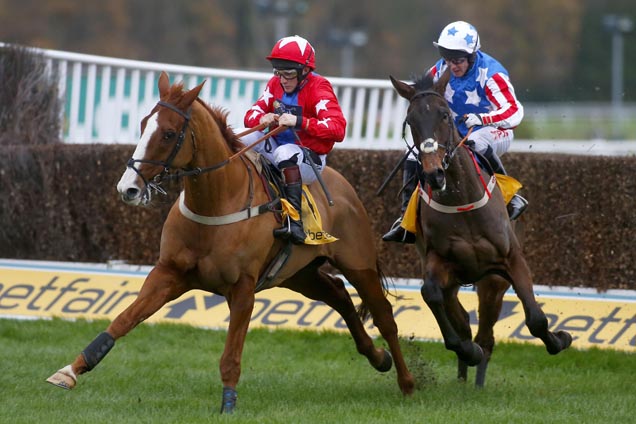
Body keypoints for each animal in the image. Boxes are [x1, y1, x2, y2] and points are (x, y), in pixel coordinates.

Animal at [47, 71, 414, 412]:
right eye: (141, 125)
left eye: (168, 134)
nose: (128, 188)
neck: (216, 203)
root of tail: (345, 189)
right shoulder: (168, 273)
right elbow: (123, 320)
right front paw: (71, 370)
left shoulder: (242, 288)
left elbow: (231, 354)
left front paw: (227, 403)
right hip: (299, 273)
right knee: (338, 295)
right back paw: (377, 356)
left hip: (358, 263)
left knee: (384, 315)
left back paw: (407, 382)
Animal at [390, 73, 572, 388]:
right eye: (411, 120)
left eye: (445, 114)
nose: (434, 174)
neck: (461, 202)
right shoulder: (438, 262)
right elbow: (431, 295)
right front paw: (466, 350)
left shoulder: (511, 260)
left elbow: (536, 319)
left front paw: (561, 338)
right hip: (455, 280)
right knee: (463, 321)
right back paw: (467, 372)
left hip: (491, 283)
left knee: (486, 335)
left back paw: (476, 381)